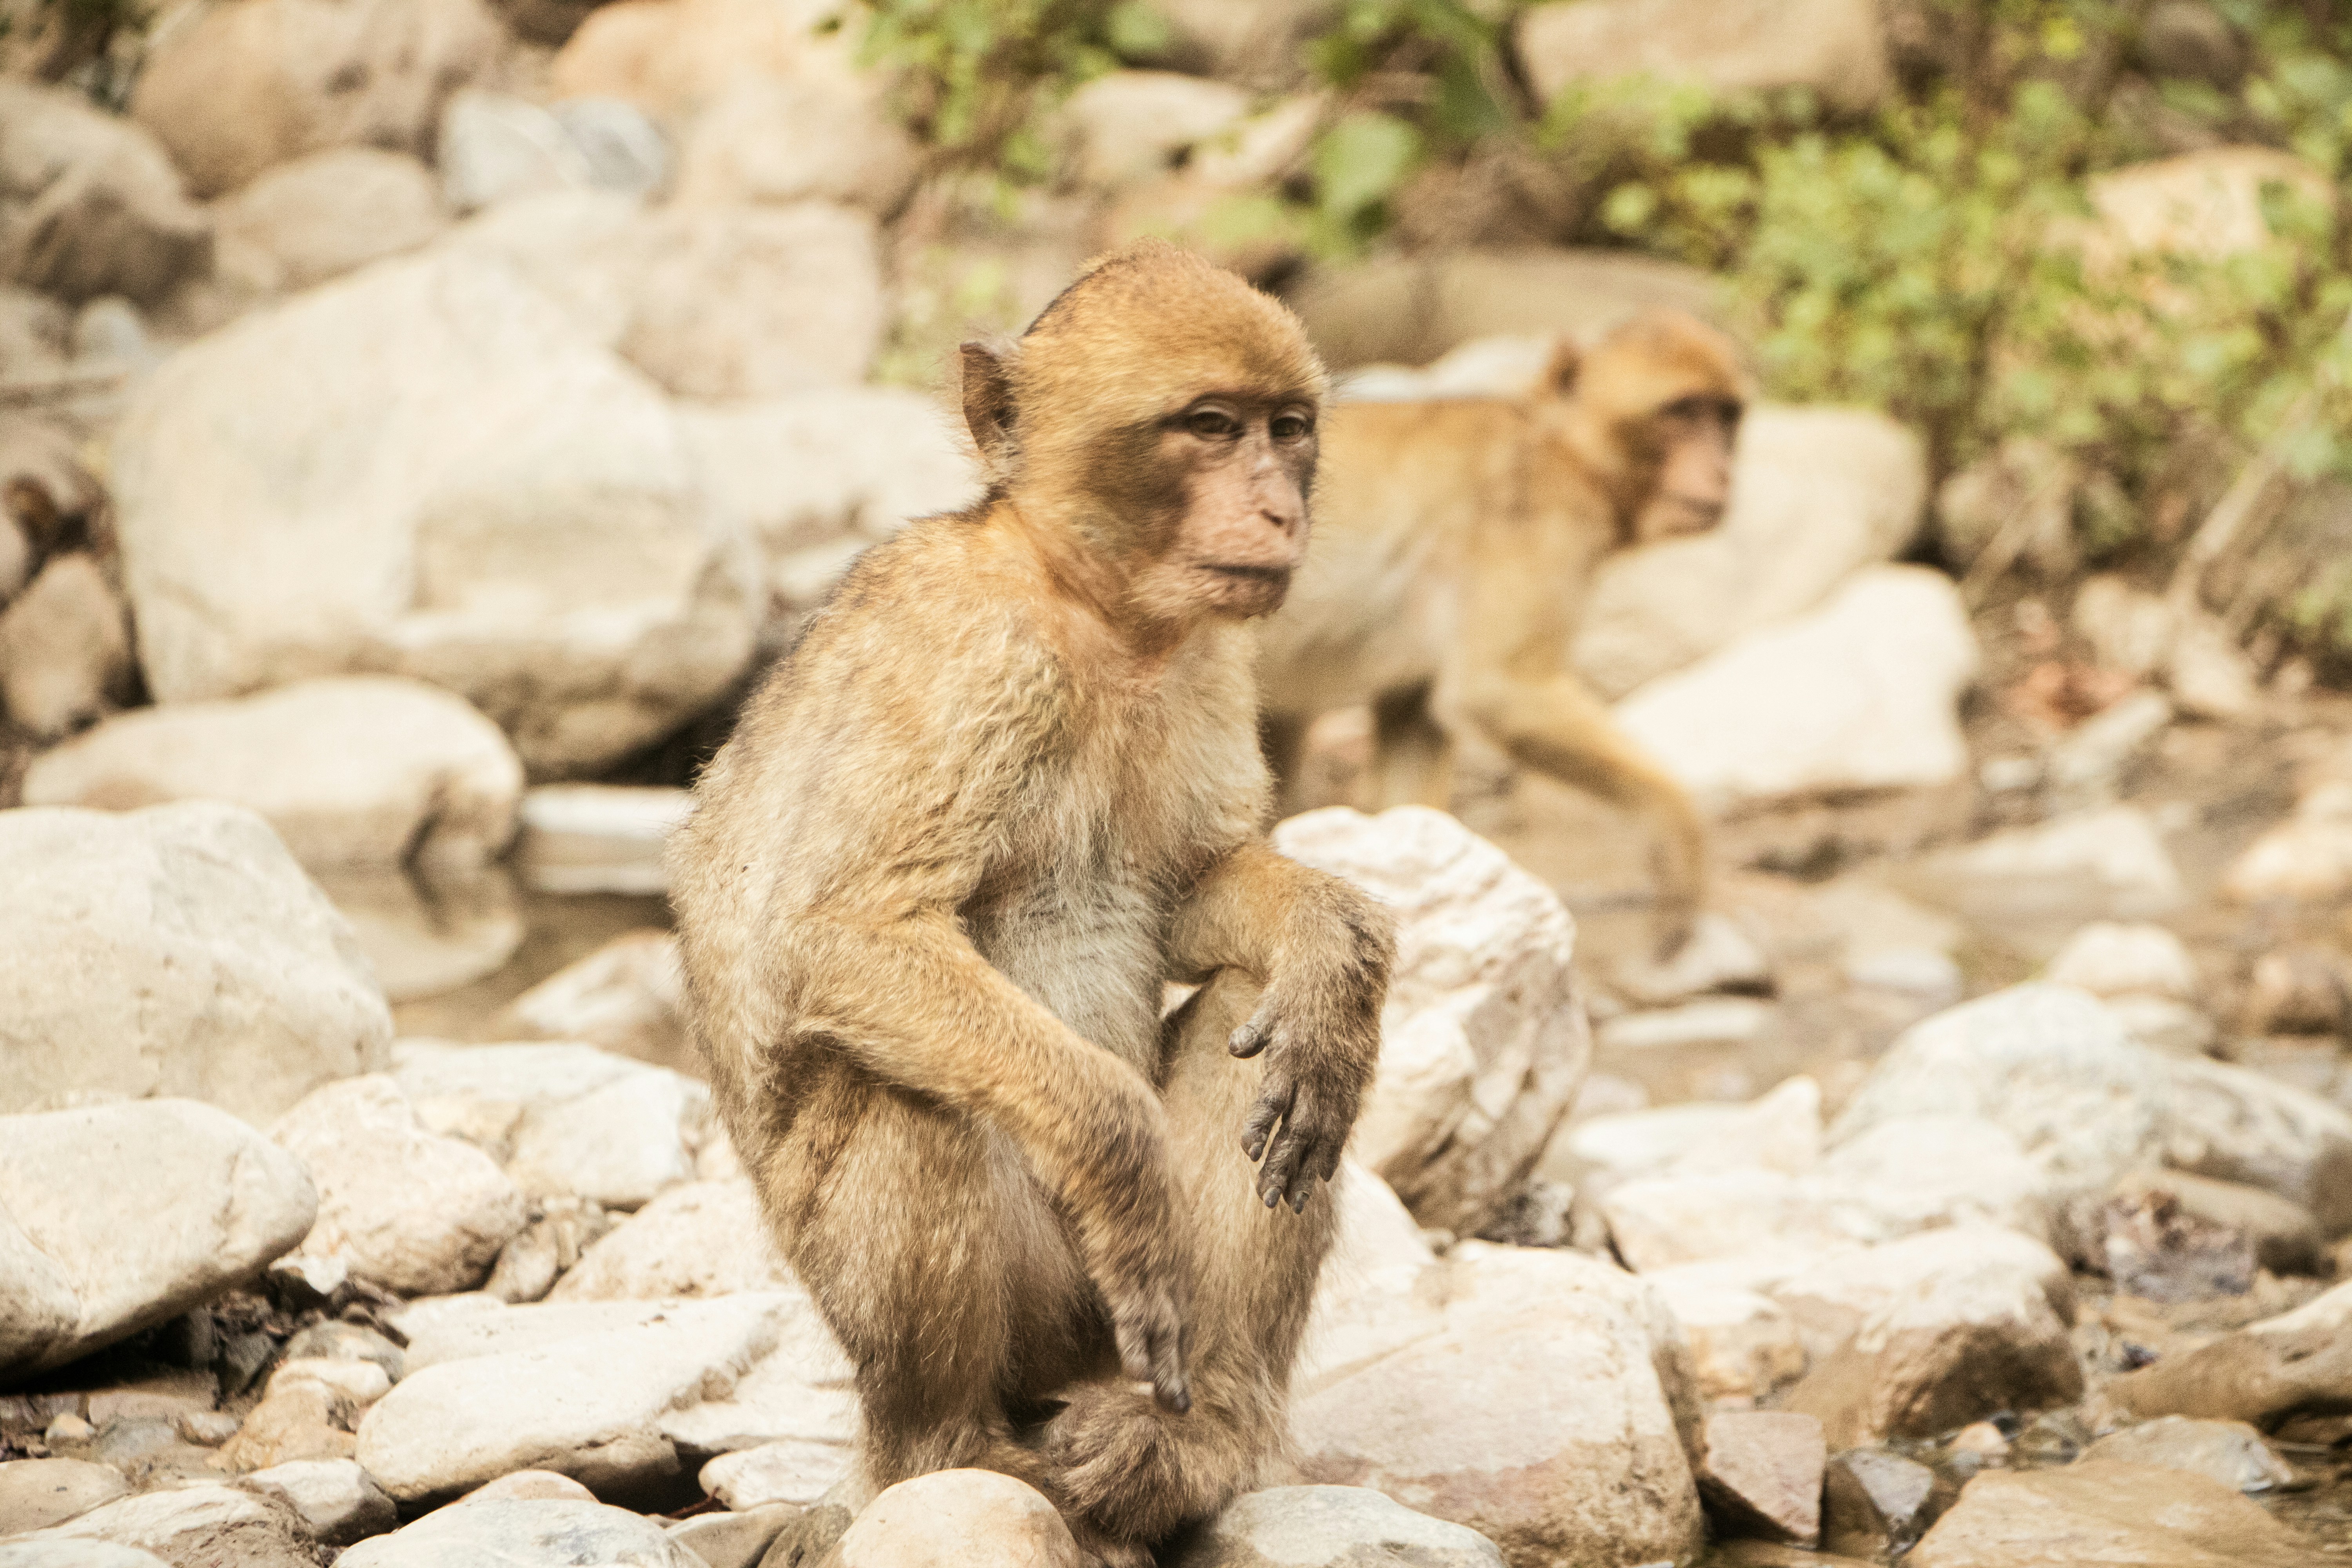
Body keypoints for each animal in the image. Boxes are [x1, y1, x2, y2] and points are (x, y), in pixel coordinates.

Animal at [667, 241, 1395, 1567]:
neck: (1093, 610)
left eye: (1286, 429)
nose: (1280, 509)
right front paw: (1124, 1158)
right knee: (900, 1079)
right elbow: (840, 936)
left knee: (1245, 1010)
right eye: (1208, 428)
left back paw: (1198, 1437)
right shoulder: (970, 655)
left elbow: (1199, 894)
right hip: (1027, 1310)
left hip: (1098, 1352)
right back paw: (953, 1450)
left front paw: (1333, 954)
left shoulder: (1207, 659)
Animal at [1254, 309, 1749, 958]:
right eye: (1682, 412)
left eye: (1724, 416)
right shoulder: (1538, 521)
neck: (1560, 448)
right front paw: (1679, 838)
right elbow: (1498, 692)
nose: (1721, 471)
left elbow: (1413, 731)